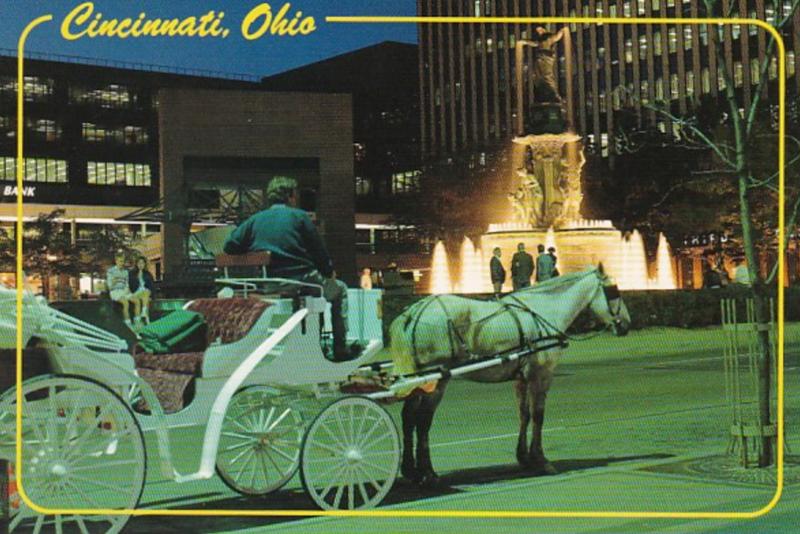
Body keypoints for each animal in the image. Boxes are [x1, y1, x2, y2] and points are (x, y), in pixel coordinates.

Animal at [390, 266, 632, 488]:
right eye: (613, 291)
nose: (626, 324)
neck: (542, 310)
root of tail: (413, 313)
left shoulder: (521, 379)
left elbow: (524, 414)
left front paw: (524, 457)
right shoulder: (540, 376)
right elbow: (538, 416)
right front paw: (540, 460)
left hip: (419, 381)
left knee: (409, 417)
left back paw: (412, 470)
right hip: (436, 380)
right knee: (423, 421)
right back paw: (428, 473)